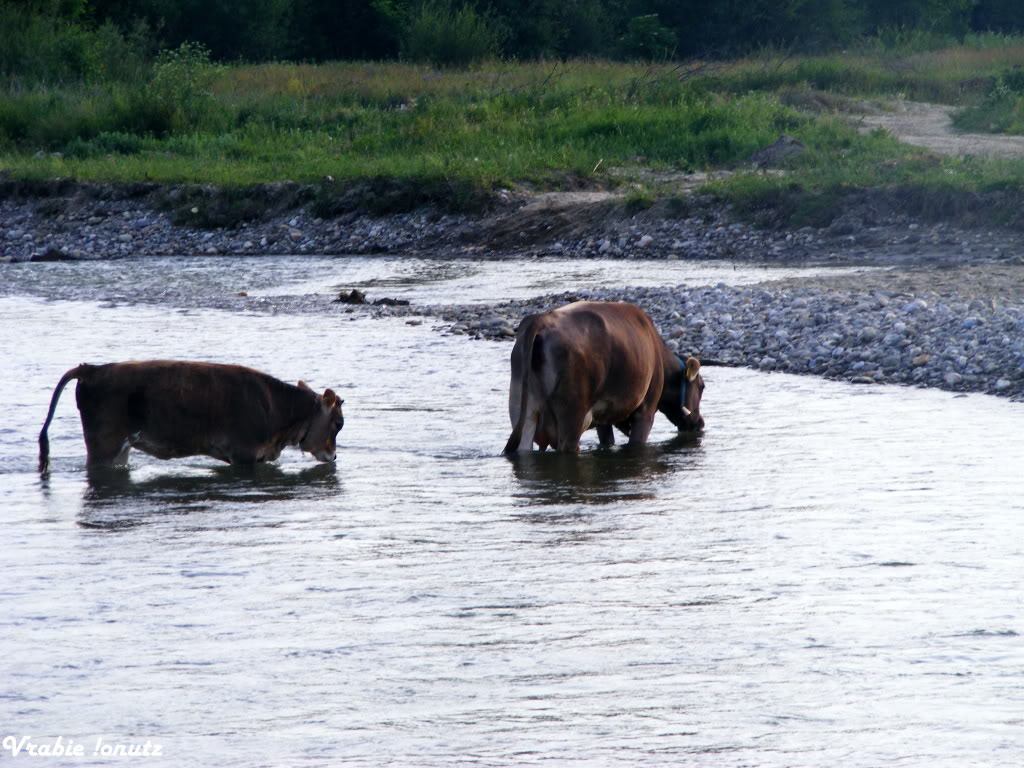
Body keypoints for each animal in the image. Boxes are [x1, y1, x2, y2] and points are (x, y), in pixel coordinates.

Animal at [38, 362, 344, 475]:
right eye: (338, 424)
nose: (333, 455)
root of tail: (93, 369)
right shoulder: (243, 455)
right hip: (103, 445)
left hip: (120, 449)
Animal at [501, 301, 704, 454]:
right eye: (702, 387)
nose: (700, 423)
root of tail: (542, 320)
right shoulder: (646, 409)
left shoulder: (602, 418)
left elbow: (607, 440)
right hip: (572, 416)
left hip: (523, 411)